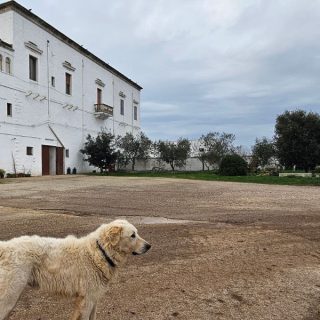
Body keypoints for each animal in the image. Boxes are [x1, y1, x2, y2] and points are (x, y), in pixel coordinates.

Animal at [0, 220, 151, 320]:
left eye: (136, 233)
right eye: (132, 235)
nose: (149, 246)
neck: (100, 251)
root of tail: (5, 247)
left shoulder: (93, 299)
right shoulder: (87, 300)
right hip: (9, 297)